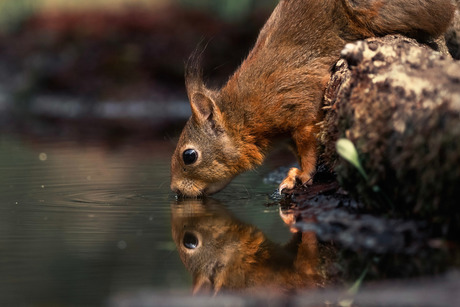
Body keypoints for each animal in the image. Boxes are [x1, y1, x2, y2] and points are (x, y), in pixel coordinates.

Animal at [171, 0, 454, 197]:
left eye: (189, 156)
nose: (175, 190)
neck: (246, 113)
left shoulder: (300, 105)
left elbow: (307, 148)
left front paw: (302, 176)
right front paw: (292, 175)